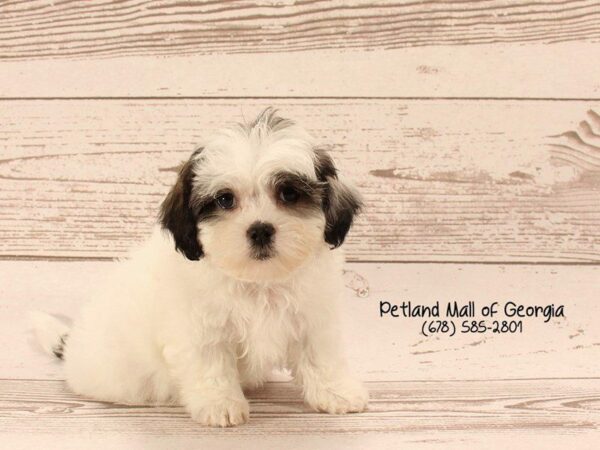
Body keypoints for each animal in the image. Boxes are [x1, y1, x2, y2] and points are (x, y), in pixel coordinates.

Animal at [34, 108, 370, 426]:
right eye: (224, 200)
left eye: (289, 193)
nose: (260, 229)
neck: (258, 282)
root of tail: (73, 345)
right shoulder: (199, 329)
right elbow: (211, 365)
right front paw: (221, 405)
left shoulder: (313, 315)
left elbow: (319, 356)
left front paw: (337, 392)